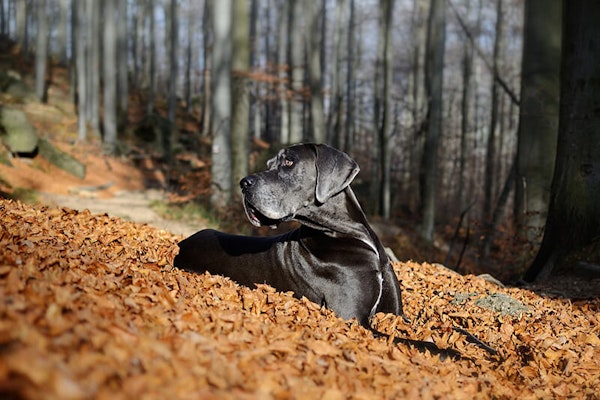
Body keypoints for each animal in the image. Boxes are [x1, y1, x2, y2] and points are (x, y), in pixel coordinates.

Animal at [172, 144, 492, 360]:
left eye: (288, 162)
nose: (243, 183)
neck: (349, 234)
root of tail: (182, 243)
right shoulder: (356, 320)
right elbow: (418, 342)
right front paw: (457, 355)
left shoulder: (397, 314)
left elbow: (454, 328)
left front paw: (488, 348)